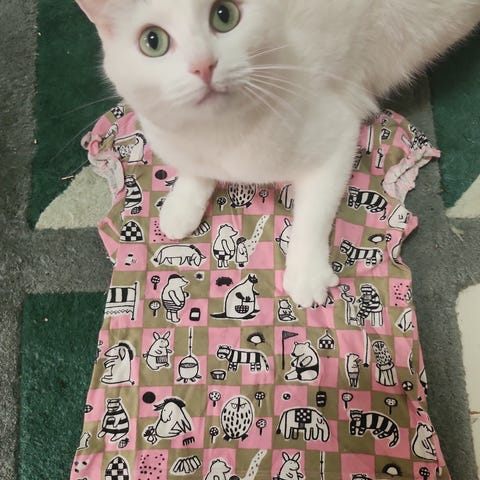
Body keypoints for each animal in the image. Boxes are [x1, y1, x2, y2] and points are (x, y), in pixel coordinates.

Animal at [75, 0, 480, 306]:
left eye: (224, 14)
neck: (220, 137)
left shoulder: (335, 135)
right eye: (152, 41)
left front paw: (306, 275)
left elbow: (313, 214)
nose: (203, 64)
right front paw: (180, 207)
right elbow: (193, 172)